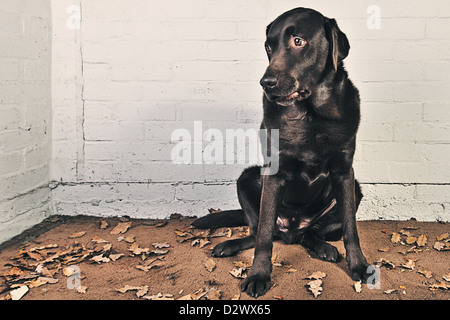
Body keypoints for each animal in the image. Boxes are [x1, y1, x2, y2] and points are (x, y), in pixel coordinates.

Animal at [192, 6, 370, 298]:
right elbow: (264, 236)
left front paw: (359, 266)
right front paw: (258, 275)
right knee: (258, 231)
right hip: (248, 178)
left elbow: (351, 230)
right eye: (268, 46)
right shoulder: (272, 175)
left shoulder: (345, 173)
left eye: (298, 41)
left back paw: (324, 247)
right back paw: (230, 245)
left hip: (354, 190)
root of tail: (291, 231)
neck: (310, 115)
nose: (266, 82)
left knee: (312, 233)